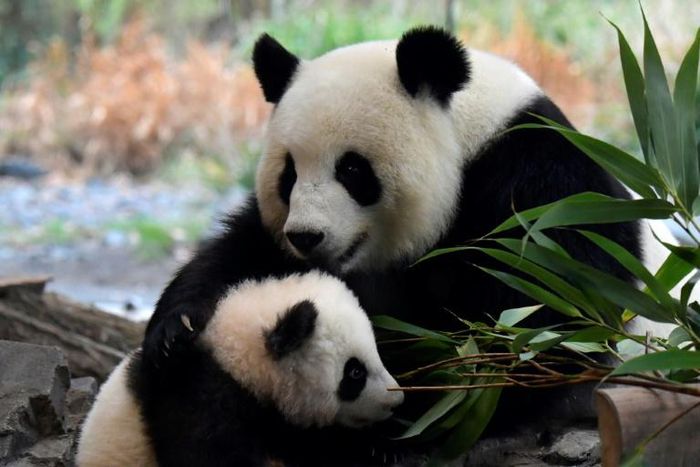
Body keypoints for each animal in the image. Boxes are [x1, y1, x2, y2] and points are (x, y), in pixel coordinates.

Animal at [143, 25, 648, 363]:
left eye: (352, 169)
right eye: (289, 175)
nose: (306, 237)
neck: (470, 136)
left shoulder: (539, 186)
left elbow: (537, 311)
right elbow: (241, 252)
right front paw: (177, 328)